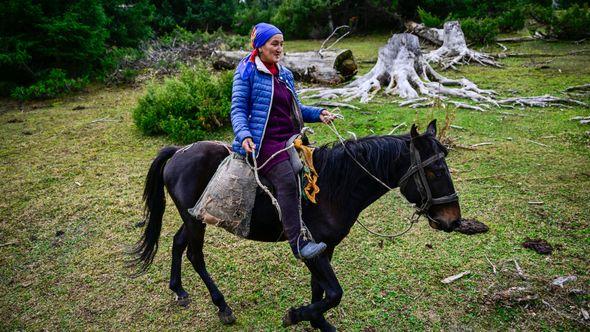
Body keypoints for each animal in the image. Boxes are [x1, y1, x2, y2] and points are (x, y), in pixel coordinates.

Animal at [130, 120, 462, 330]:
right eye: (433, 171)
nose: (453, 219)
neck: (334, 186)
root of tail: (178, 151)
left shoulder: (323, 248)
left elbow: (321, 291)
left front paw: (317, 323)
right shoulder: (311, 248)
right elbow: (334, 294)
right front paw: (297, 315)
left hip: (193, 217)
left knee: (177, 242)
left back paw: (179, 290)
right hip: (196, 221)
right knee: (195, 255)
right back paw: (222, 307)